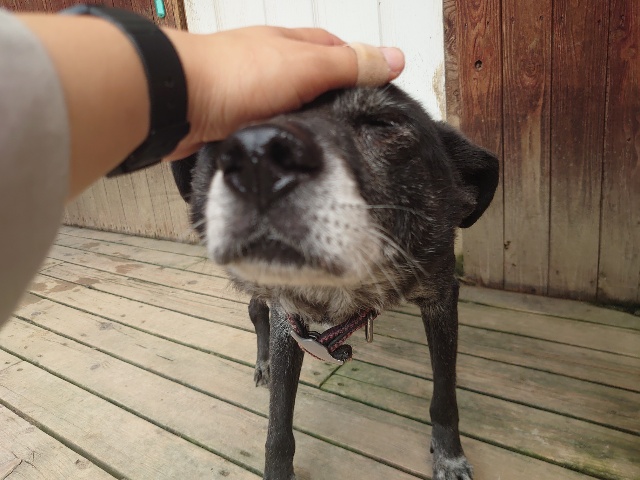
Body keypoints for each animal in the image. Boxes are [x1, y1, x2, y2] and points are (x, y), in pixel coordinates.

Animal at [171, 84, 499, 480]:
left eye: (383, 122)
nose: (256, 155)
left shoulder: (441, 296)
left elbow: (445, 394)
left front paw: (449, 454)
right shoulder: (289, 318)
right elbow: (278, 424)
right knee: (255, 309)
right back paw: (263, 361)